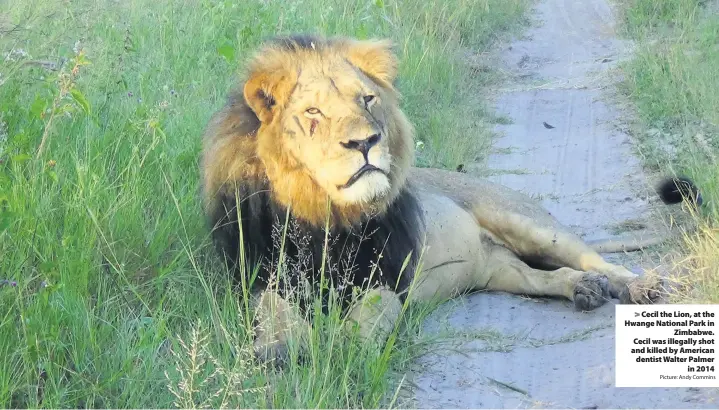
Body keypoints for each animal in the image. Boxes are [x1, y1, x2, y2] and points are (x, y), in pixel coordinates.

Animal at [201, 34, 704, 362]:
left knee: (597, 260)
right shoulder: (262, 279)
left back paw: (637, 285)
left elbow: (367, 321)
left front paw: (344, 348)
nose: (366, 142)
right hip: (500, 270)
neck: (325, 217)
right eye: (312, 112)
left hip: (528, 223)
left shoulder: (386, 278)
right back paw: (583, 290)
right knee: (547, 276)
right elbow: (275, 317)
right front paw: (277, 352)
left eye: (368, 100)